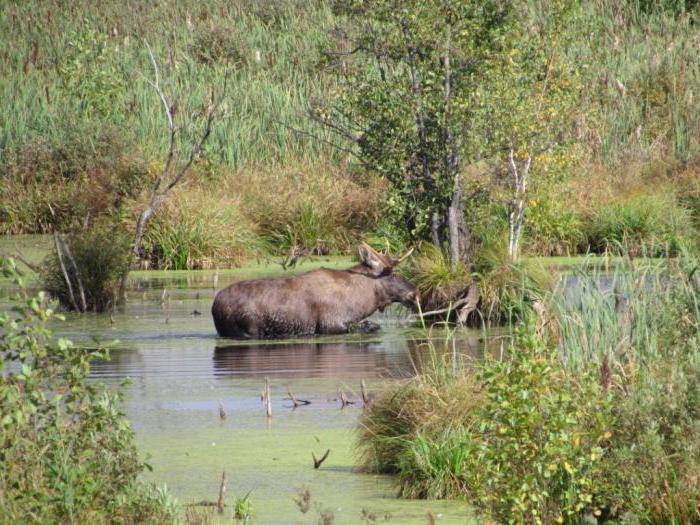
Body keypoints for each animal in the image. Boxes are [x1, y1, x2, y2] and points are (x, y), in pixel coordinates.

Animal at [209, 244, 416, 338]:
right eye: (391, 273)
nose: (414, 292)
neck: (360, 302)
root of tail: (214, 306)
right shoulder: (329, 324)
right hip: (247, 329)